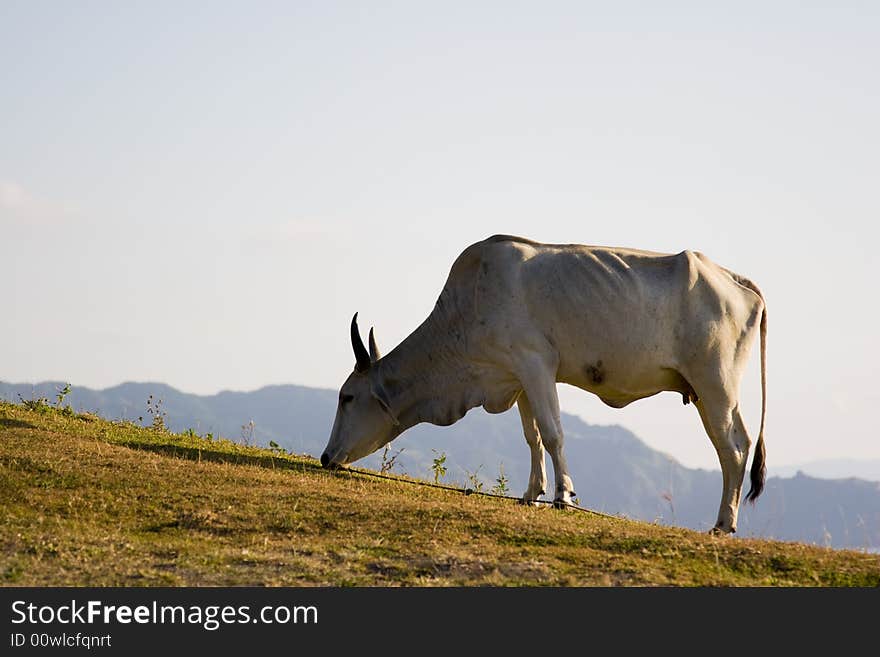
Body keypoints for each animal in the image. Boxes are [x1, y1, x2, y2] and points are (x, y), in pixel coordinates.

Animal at [322, 234, 764, 532]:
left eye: (347, 397)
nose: (326, 458)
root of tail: (735, 279)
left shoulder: (535, 364)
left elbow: (553, 434)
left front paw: (563, 495)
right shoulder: (518, 377)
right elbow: (532, 437)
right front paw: (532, 494)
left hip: (716, 385)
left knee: (733, 447)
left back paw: (723, 524)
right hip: (708, 392)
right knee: (736, 445)